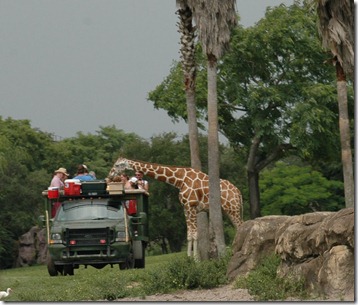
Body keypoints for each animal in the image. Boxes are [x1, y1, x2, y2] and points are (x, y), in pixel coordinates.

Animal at [107, 157, 245, 256]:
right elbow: (189, 234)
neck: (179, 180)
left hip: (232, 209)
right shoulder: (185, 207)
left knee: (240, 226)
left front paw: (196, 260)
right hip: (229, 210)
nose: (109, 176)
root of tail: (238, 192)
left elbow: (195, 234)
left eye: (117, 165)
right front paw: (189, 258)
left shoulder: (191, 205)